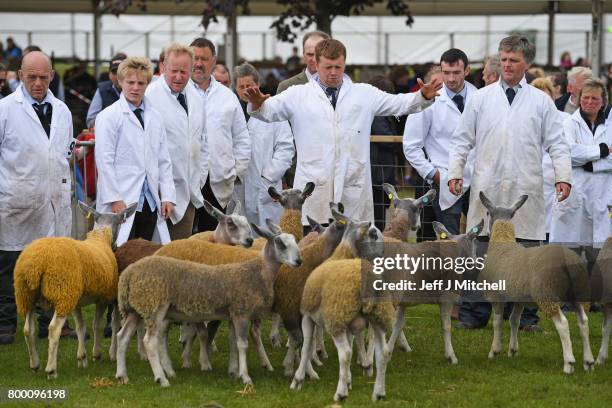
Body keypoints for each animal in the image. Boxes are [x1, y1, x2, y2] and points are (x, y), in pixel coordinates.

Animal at [13, 201, 138, 380]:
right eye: (121, 222)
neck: (100, 238)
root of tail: (37, 263)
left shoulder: (77, 302)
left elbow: (81, 327)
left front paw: (82, 358)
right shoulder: (105, 298)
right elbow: (102, 325)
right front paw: (100, 354)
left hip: (27, 295)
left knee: (28, 330)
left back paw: (35, 364)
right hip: (62, 293)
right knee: (53, 329)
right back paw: (51, 370)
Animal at [116, 220, 302, 386]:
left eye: (295, 241)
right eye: (280, 244)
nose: (299, 262)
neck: (257, 270)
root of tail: (128, 274)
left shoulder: (233, 314)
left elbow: (233, 343)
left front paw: (234, 371)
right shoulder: (241, 312)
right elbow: (242, 345)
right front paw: (245, 377)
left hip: (136, 309)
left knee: (123, 337)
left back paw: (123, 376)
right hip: (153, 306)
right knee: (150, 341)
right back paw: (161, 378)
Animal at [290, 220, 390, 402]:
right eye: (374, 234)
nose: (383, 258)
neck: (342, 253)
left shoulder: (307, 316)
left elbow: (306, 347)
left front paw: (298, 380)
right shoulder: (348, 323)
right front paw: (349, 380)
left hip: (335, 318)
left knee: (345, 354)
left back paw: (340, 394)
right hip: (377, 318)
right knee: (383, 353)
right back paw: (378, 393)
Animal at [478, 191, 592, 372]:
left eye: (488, 213)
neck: (503, 245)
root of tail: (568, 261)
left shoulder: (495, 295)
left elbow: (497, 322)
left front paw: (494, 351)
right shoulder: (519, 298)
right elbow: (514, 321)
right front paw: (513, 350)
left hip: (547, 293)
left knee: (563, 324)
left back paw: (569, 363)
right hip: (577, 293)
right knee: (583, 322)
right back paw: (588, 362)